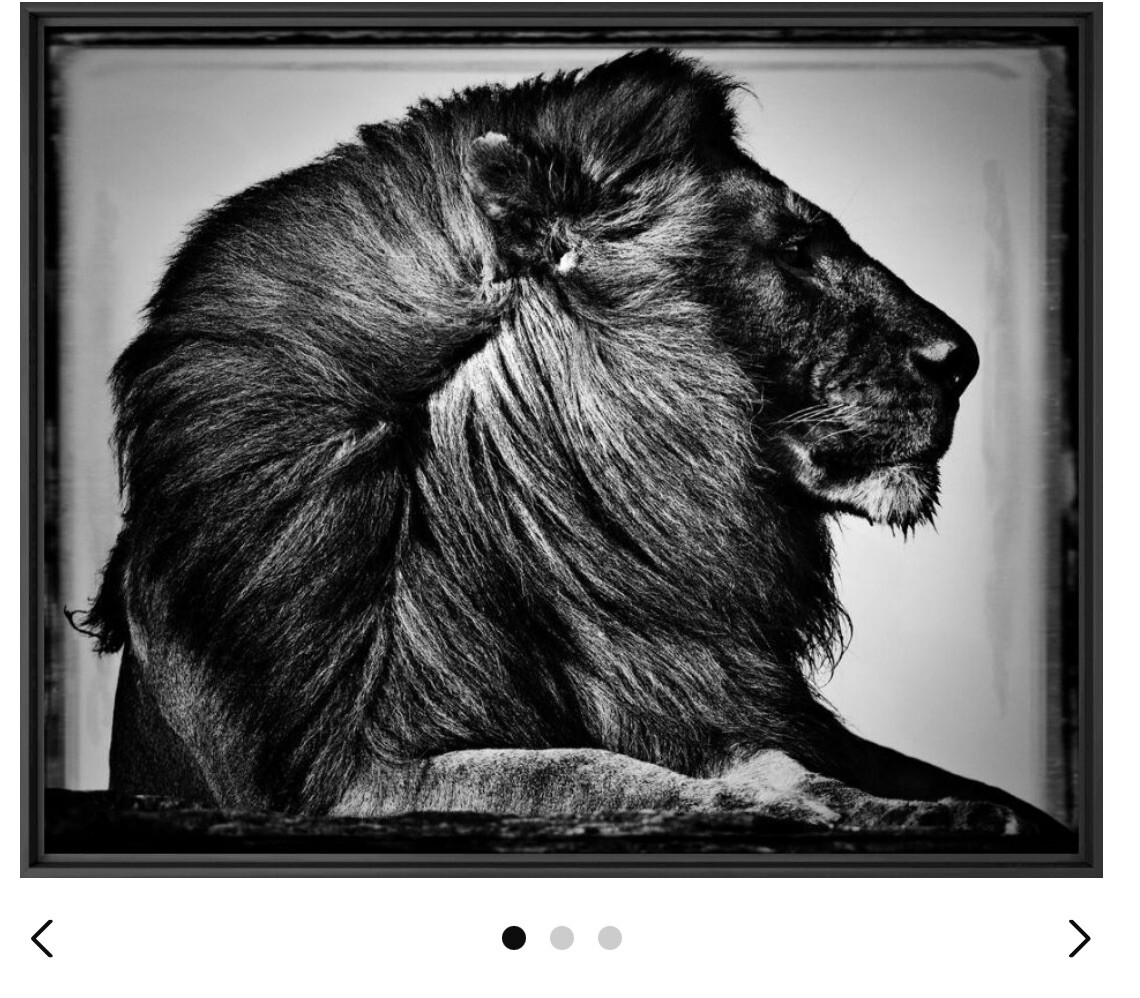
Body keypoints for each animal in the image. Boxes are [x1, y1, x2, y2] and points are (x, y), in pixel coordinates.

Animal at [77, 49, 1064, 838]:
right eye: (792, 246)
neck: (576, 542)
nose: (963, 357)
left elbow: (781, 761)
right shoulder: (345, 786)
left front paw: (940, 805)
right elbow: (609, 776)